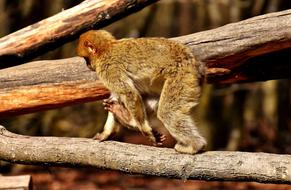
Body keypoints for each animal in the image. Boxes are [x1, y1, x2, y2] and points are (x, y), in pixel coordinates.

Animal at [76, 30, 206, 154]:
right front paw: (106, 133)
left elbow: (128, 93)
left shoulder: (107, 68)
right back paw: (122, 114)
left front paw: (144, 129)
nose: (87, 65)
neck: (107, 47)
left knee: (167, 112)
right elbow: (116, 96)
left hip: (182, 76)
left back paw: (195, 146)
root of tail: (194, 62)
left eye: (86, 59)